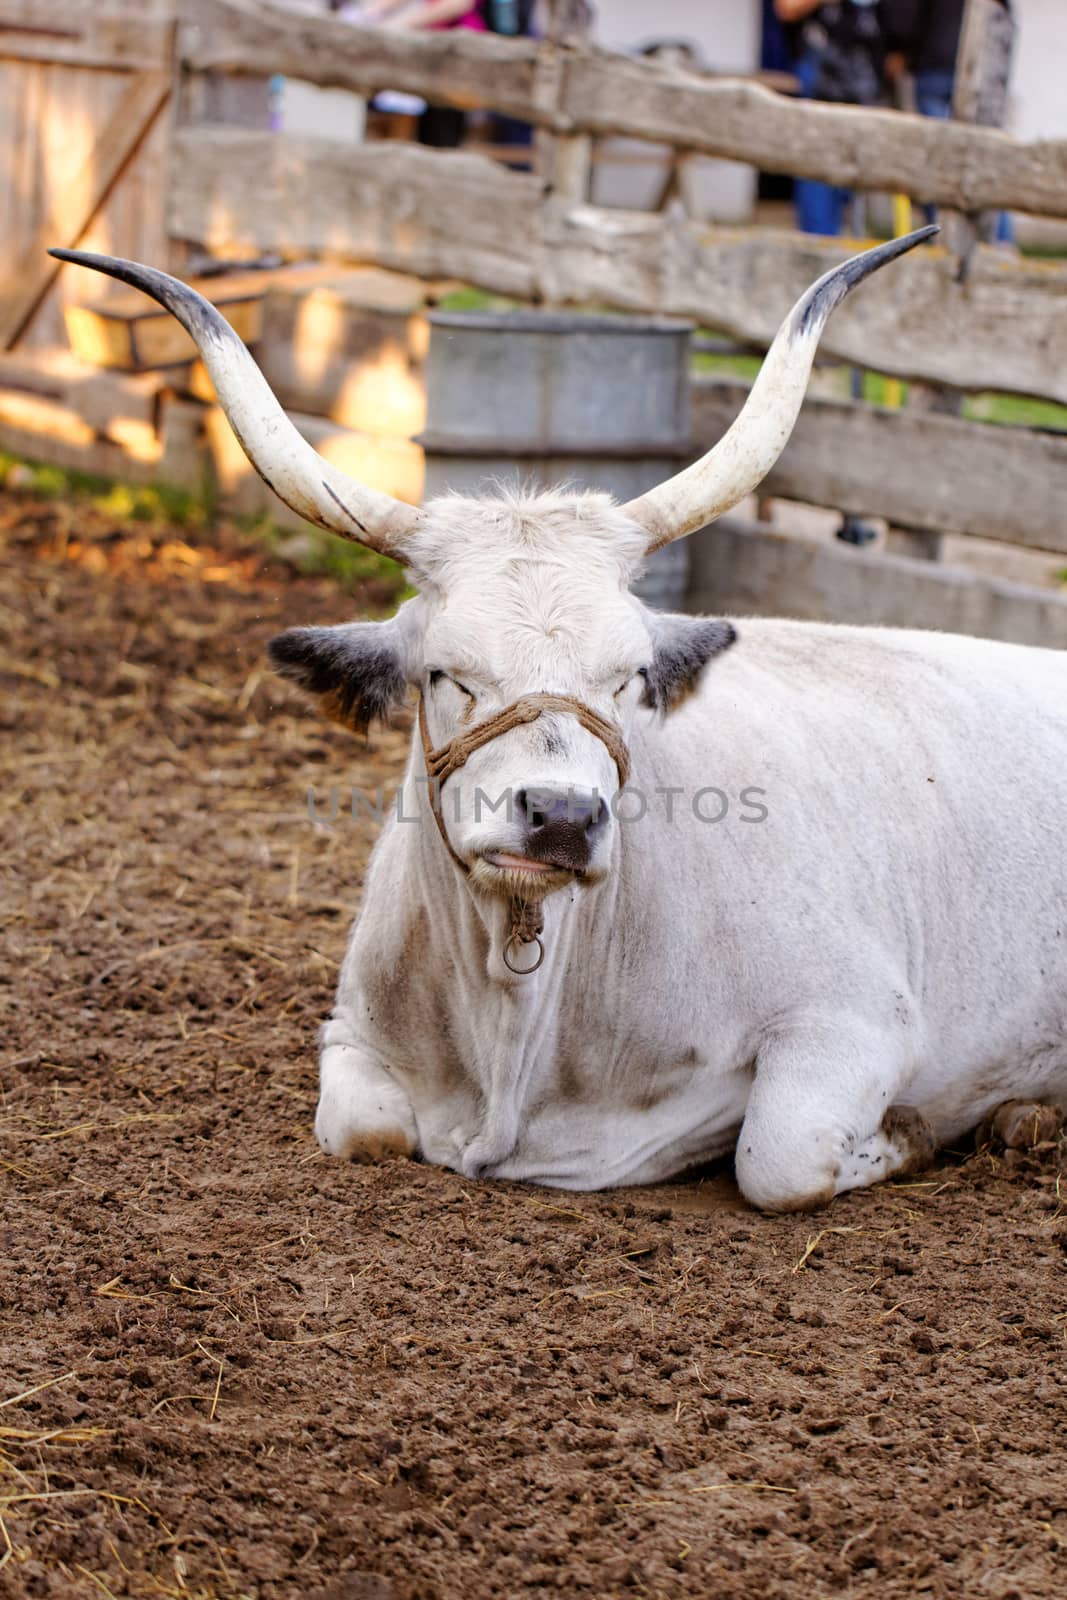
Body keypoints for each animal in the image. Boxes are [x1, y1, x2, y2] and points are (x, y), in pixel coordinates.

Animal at [58, 232, 1067, 1203]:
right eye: (443, 672)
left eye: (629, 677)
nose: (564, 818)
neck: (512, 1043)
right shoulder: (350, 1033)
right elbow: (366, 1130)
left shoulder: (852, 1021)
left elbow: (778, 1159)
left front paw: (912, 1132)